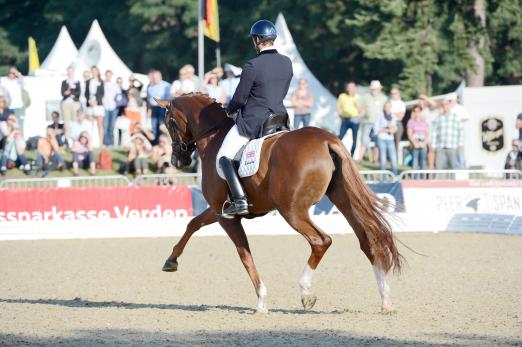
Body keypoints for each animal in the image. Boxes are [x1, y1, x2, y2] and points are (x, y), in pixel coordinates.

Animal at [154, 94, 398, 314]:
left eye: (168, 123)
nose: (178, 161)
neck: (214, 136)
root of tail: (327, 140)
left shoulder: (225, 215)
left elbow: (244, 254)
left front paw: (261, 301)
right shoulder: (218, 210)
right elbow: (193, 224)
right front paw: (171, 261)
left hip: (292, 211)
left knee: (321, 241)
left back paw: (306, 292)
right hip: (343, 200)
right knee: (367, 240)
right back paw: (386, 300)